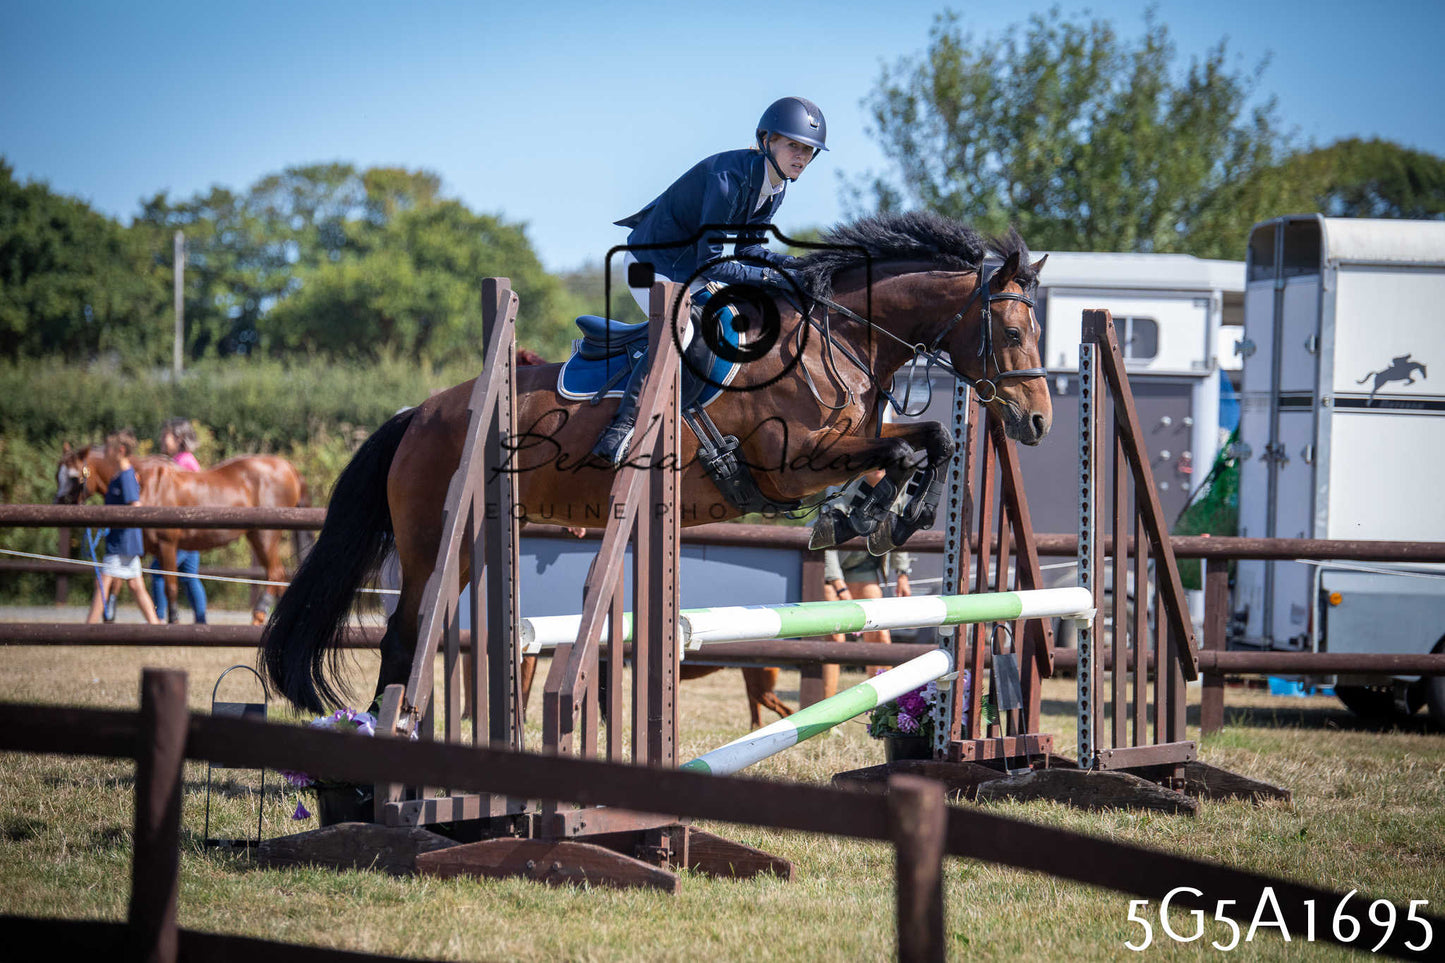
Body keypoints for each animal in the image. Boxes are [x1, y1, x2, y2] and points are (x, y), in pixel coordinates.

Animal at [55, 443, 309, 623]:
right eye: (58, 473)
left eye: (73, 476)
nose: (59, 502)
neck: (144, 485)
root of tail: (290, 469)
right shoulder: (141, 548)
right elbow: (119, 581)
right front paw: (109, 615)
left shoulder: (168, 545)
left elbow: (170, 585)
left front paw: (173, 620)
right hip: (256, 536)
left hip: (265, 536)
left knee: (275, 573)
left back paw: (259, 614)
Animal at [262, 211, 1052, 715]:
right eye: (1015, 330)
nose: (1036, 421)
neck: (837, 337)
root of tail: (417, 414)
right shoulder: (793, 464)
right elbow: (907, 447)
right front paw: (873, 515)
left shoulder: (850, 440)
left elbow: (930, 439)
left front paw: (876, 516)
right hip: (435, 542)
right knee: (405, 635)